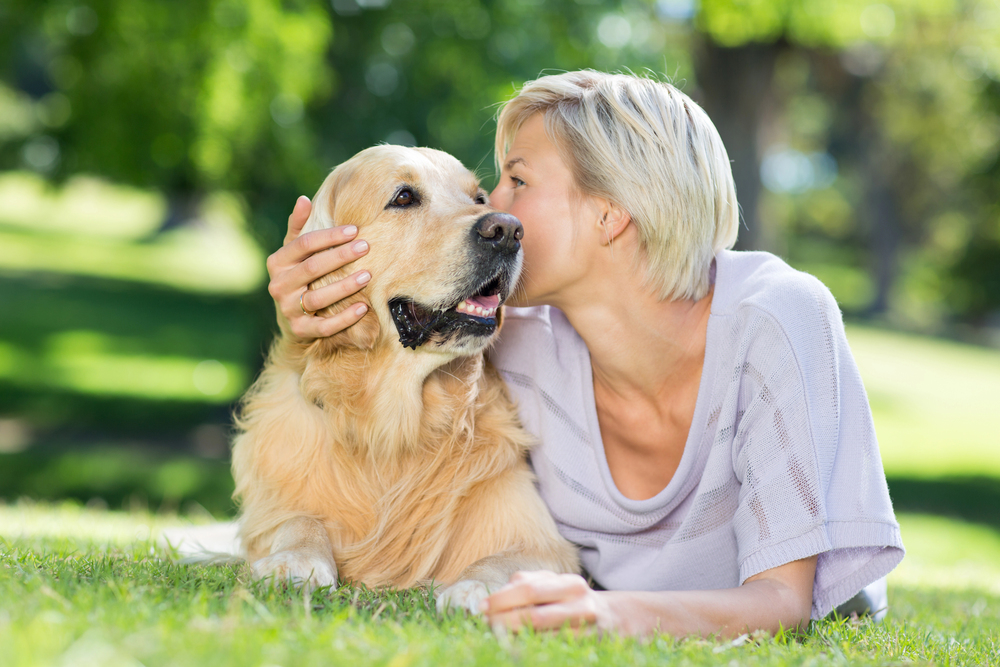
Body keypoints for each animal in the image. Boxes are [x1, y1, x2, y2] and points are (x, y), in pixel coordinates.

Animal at [230, 145, 580, 612]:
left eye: (479, 198)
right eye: (403, 197)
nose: (507, 229)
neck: (395, 429)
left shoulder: (545, 542)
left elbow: (507, 559)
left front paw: (475, 586)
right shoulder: (277, 503)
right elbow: (298, 521)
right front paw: (296, 560)